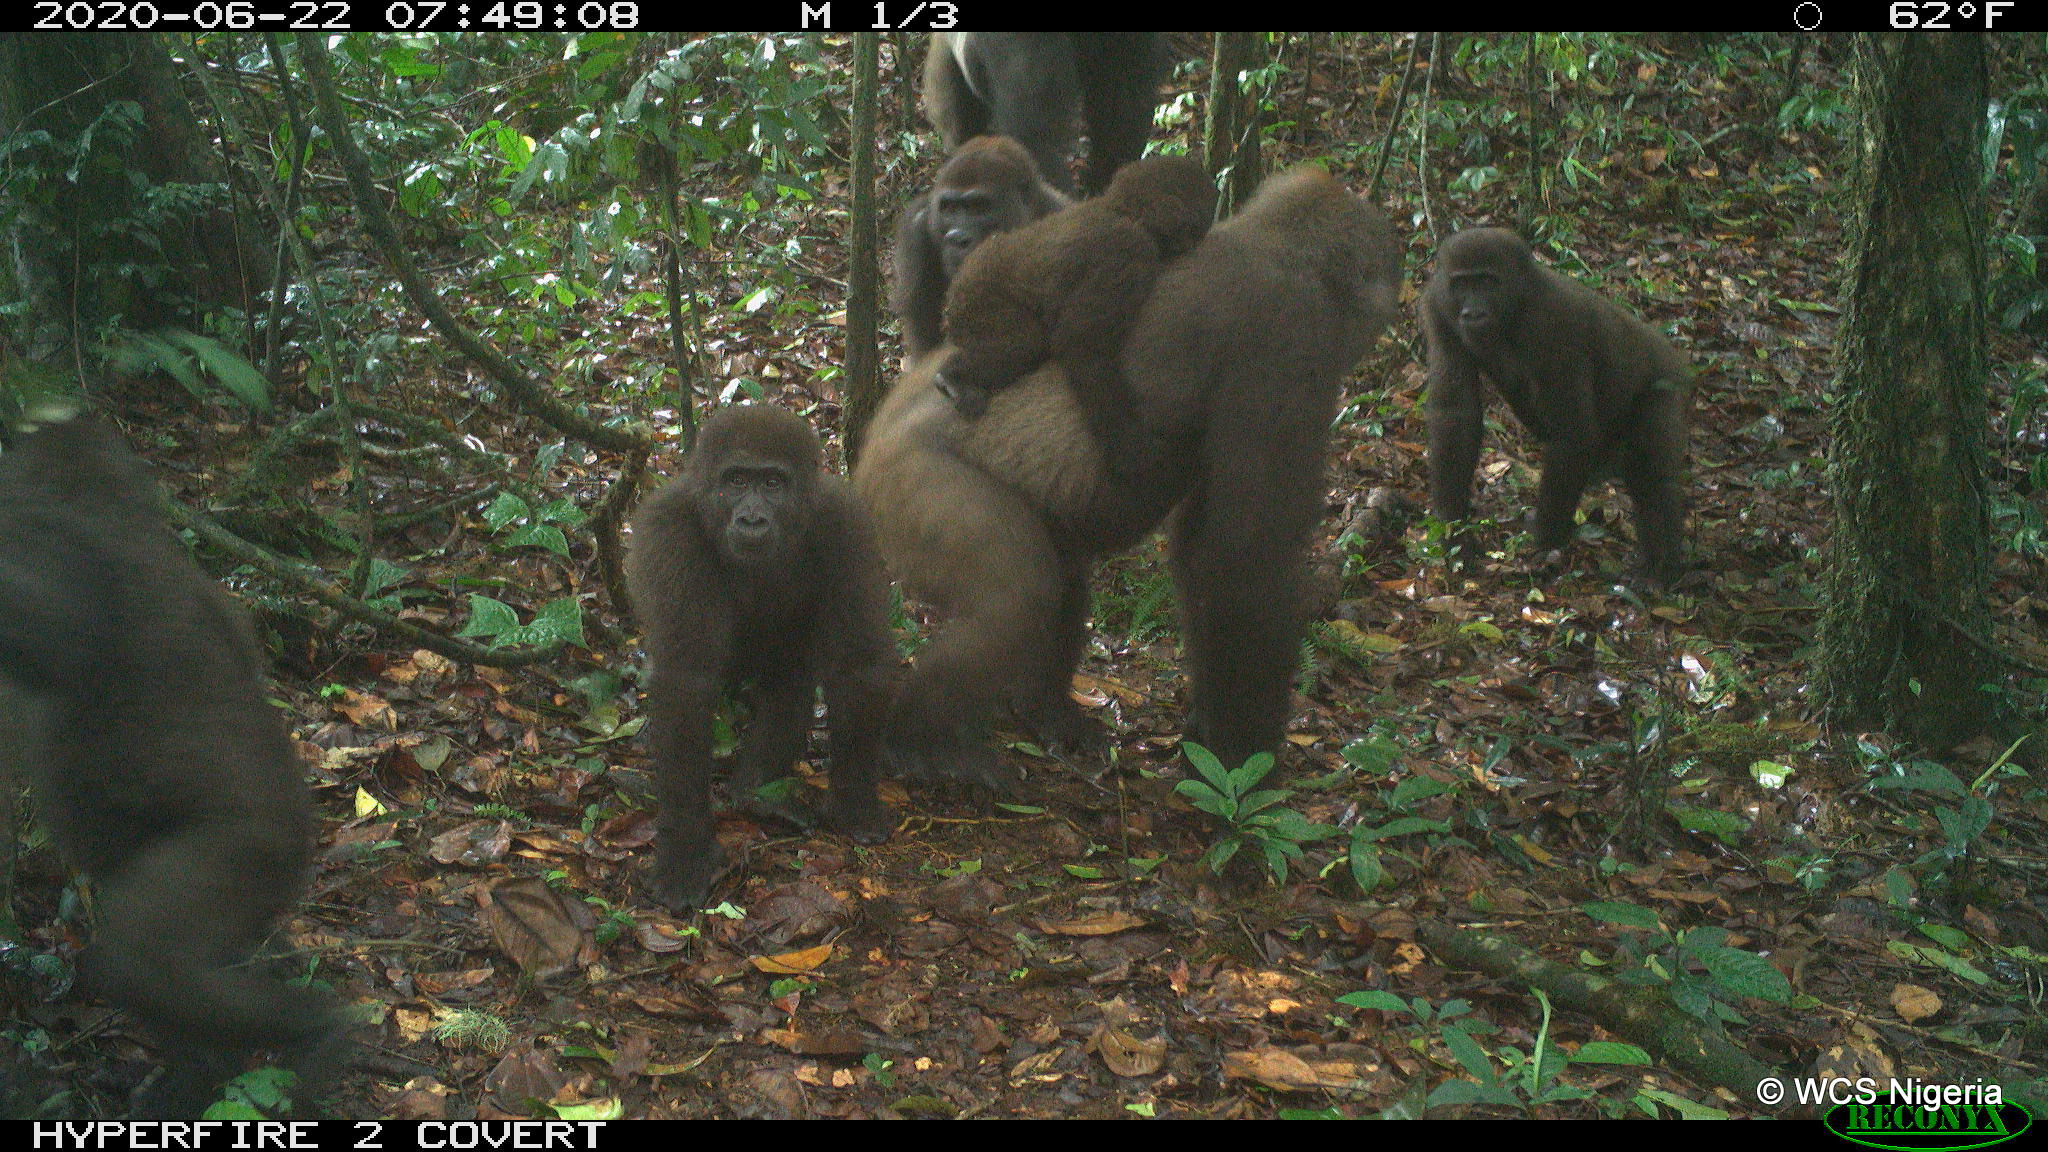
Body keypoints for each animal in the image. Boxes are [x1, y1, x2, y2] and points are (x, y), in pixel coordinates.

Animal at [622, 403, 897, 906]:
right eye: (735, 481)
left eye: (772, 483)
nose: (752, 519)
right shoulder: (670, 530)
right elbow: (686, 682)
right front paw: (685, 850)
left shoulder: (844, 523)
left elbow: (859, 662)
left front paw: (853, 801)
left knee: (790, 682)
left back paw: (756, 793)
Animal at [937, 151, 1212, 467]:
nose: (1196, 237)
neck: (1120, 210)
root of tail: (954, 292)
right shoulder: (1127, 251)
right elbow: (1080, 346)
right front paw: (1130, 447)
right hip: (977, 300)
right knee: (1020, 344)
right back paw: (953, 377)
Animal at [1425, 225, 1695, 582]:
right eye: (1461, 284)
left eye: (1486, 282)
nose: (1472, 312)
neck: (1518, 300)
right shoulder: (1437, 305)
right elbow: (1456, 415)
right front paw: (1457, 534)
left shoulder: (1555, 322)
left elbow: (1573, 433)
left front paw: (1545, 542)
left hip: (1666, 382)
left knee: (1650, 473)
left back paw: (1661, 568)